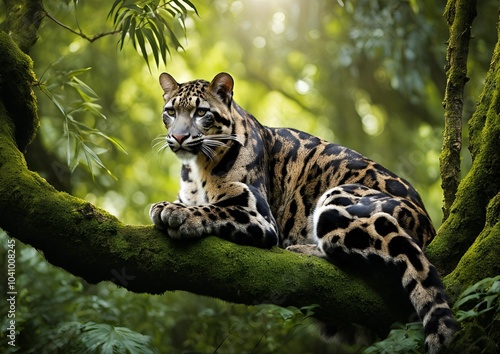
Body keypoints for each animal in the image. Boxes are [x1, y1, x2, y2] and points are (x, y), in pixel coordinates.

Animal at [150, 71, 458, 352]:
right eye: (171, 112)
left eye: (201, 112)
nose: (178, 137)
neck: (195, 167)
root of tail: (429, 227)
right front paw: (173, 206)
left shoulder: (257, 214)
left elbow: (212, 209)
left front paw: (172, 211)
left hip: (338, 200)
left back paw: (300, 249)